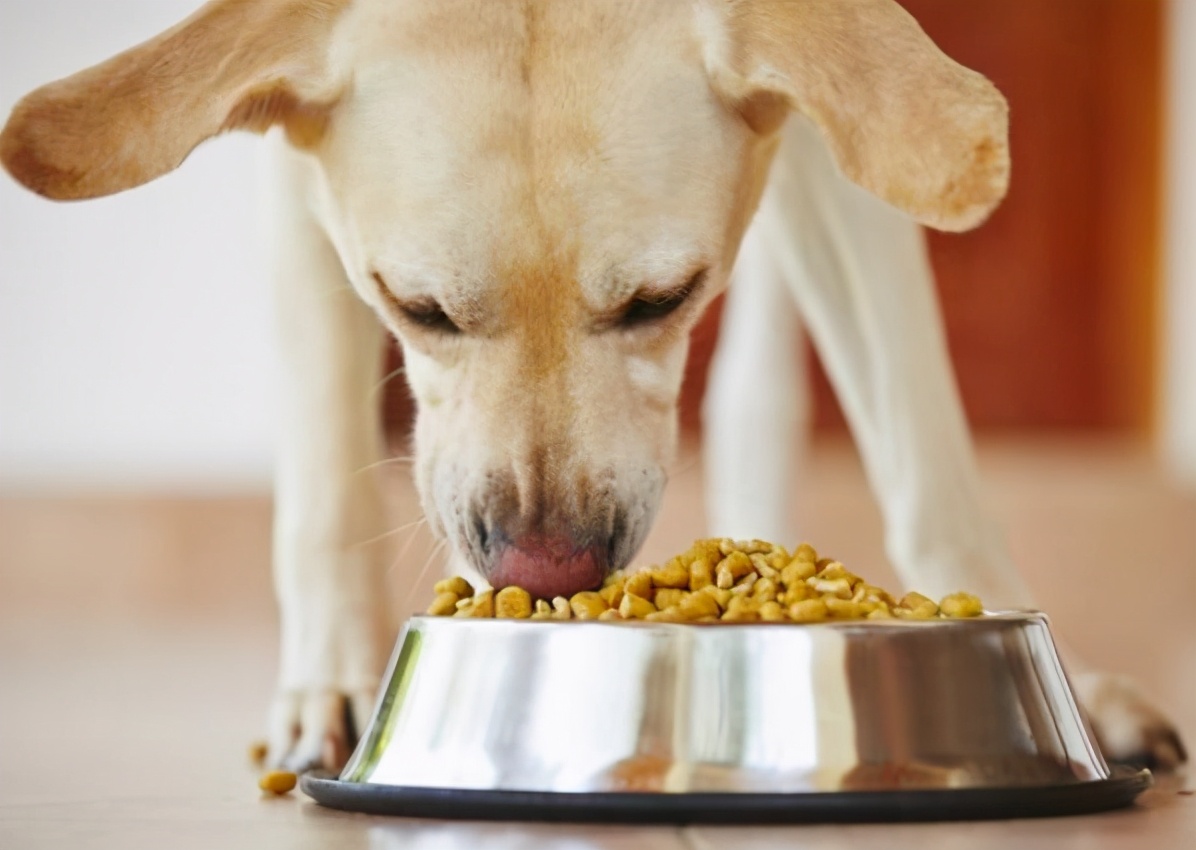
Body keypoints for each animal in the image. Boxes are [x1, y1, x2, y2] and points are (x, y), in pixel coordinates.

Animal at [2, 0, 1186, 769]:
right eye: (416, 306)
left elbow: (923, 448)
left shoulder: (851, 132)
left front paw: (1065, 684)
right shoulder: (301, 183)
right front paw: (330, 681)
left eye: (665, 296)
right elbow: (326, 474)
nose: (546, 570)